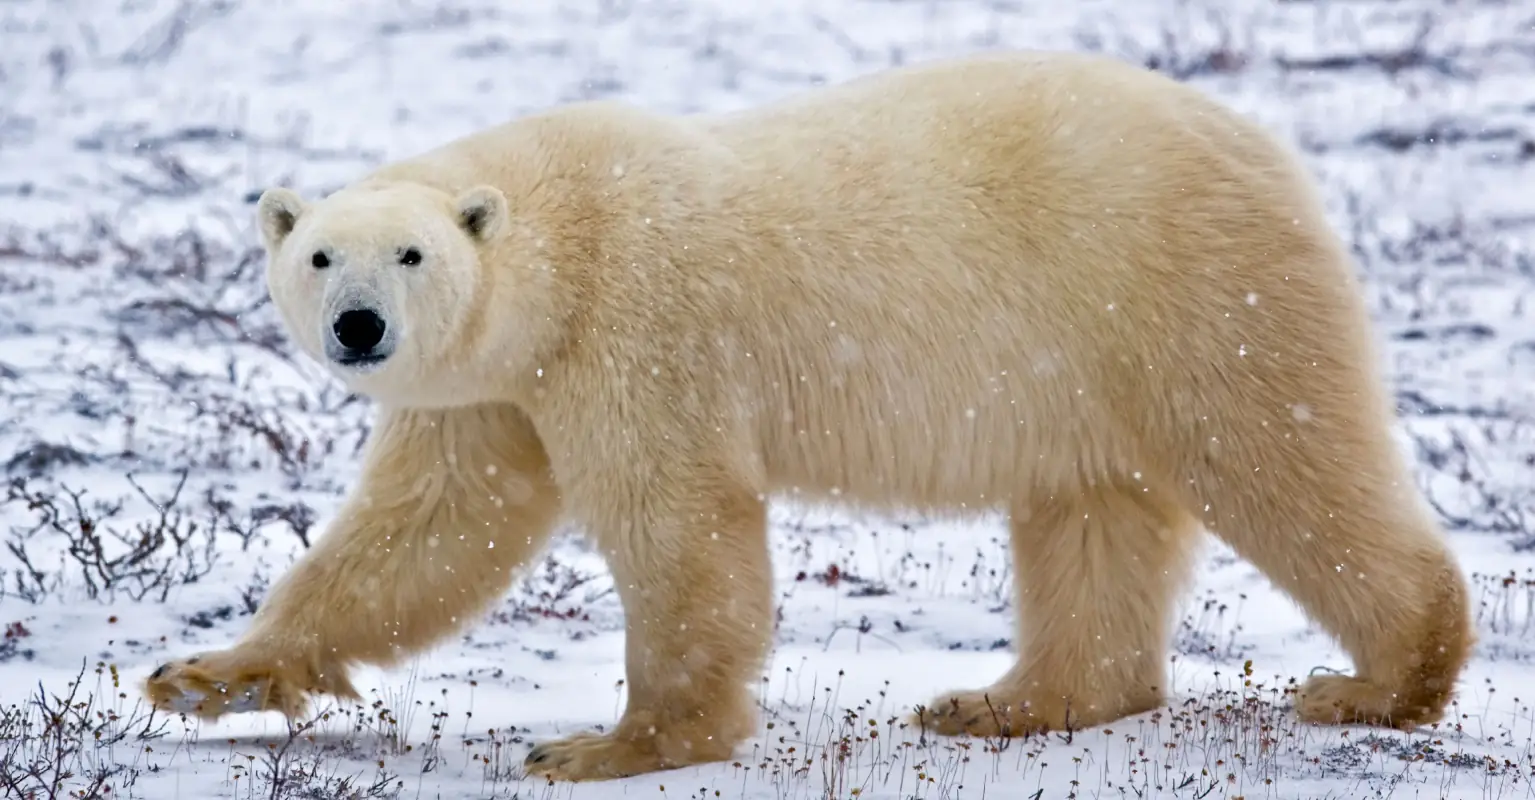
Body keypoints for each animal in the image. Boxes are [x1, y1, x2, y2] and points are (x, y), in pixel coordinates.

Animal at [144, 49, 1474, 783]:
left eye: (411, 253)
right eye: (320, 253)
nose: (360, 326)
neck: (561, 237)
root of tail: (1262, 145)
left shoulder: (633, 328)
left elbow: (678, 522)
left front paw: (613, 743)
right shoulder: (494, 388)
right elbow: (424, 530)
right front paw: (205, 675)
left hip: (1185, 289)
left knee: (1278, 457)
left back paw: (1381, 678)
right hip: (1080, 361)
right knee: (1088, 514)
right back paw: (1003, 699)